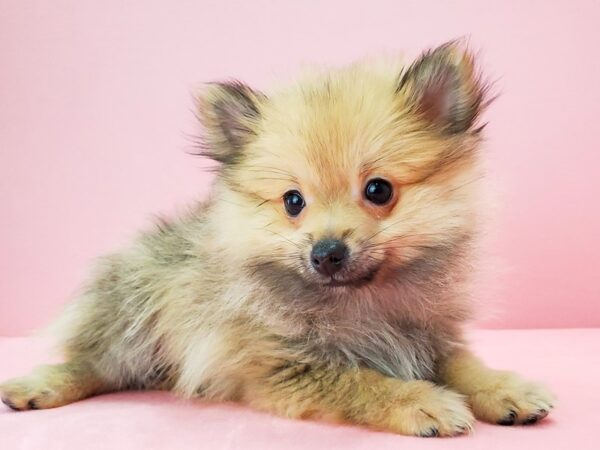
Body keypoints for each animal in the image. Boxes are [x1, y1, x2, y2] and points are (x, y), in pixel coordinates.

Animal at [0, 41, 552, 436]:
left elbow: (466, 365)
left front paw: (506, 389)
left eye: (378, 190)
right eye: (292, 201)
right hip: (132, 313)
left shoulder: (432, 337)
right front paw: (420, 401)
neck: (360, 302)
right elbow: (363, 380)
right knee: (95, 363)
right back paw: (38, 386)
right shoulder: (284, 366)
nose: (326, 252)